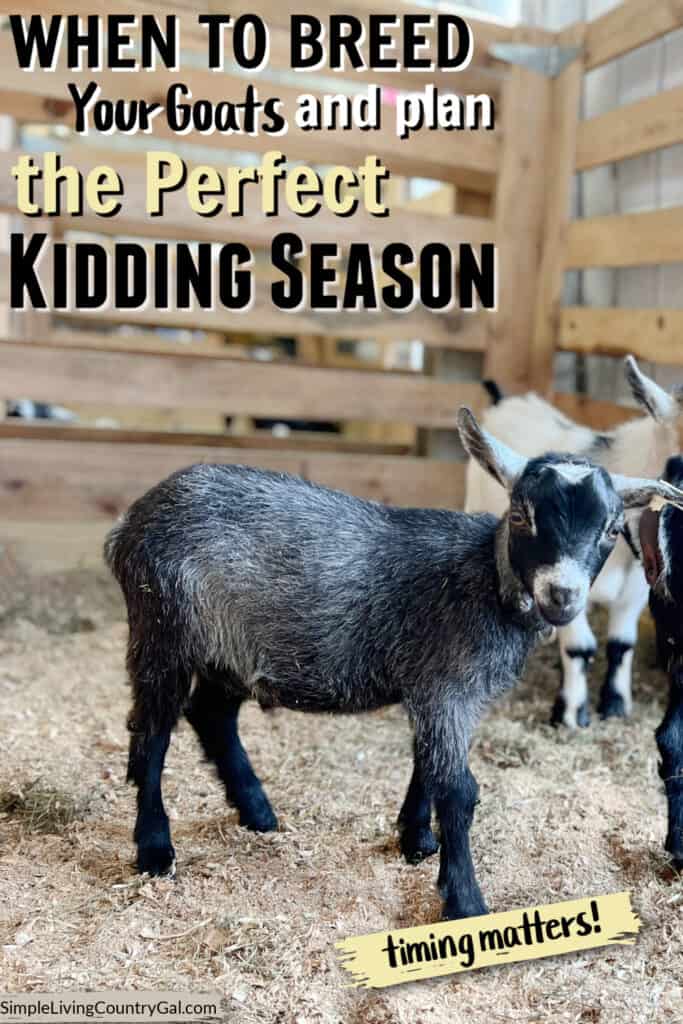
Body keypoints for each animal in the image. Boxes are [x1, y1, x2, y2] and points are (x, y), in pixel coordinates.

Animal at [104, 409, 675, 920]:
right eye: (520, 516)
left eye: (611, 529)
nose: (562, 595)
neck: (485, 577)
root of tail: (129, 524)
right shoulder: (447, 688)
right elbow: (457, 790)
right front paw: (464, 901)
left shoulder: (437, 690)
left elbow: (427, 766)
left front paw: (416, 839)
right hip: (163, 632)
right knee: (152, 735)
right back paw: (155, 849)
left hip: (231, 650)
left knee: (212, 716)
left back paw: (258, 812)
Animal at [466, 357, 683, 729]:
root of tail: (506, 401)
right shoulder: (568, 584)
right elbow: (580, 647)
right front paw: (570, 714)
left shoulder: (634, 591)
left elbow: (621, 644)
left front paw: (615, 705)